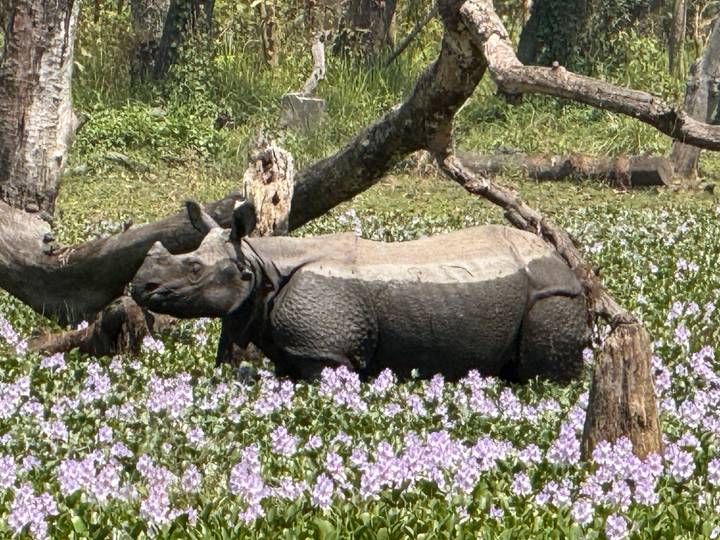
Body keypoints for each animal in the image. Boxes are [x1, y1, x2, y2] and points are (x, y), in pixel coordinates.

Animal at [131, 201, 589, 383]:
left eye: (194, 269)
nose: (139, 286)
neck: (260, 263)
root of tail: (564, 264)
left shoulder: (324, 350)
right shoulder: (292, 345)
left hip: (552, 295)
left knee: (547, 375)